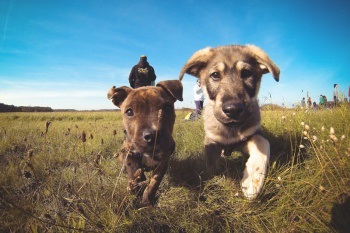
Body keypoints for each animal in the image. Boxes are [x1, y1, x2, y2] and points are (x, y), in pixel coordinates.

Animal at [179, 44, 280, 199]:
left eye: (246, 73)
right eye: (215, 75)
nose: (233, 110)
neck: (231, 130)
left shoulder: (253, 134)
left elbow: (263, 144)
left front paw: (252, 180)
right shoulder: (212, 141)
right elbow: (212, 165)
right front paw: (214, 179)